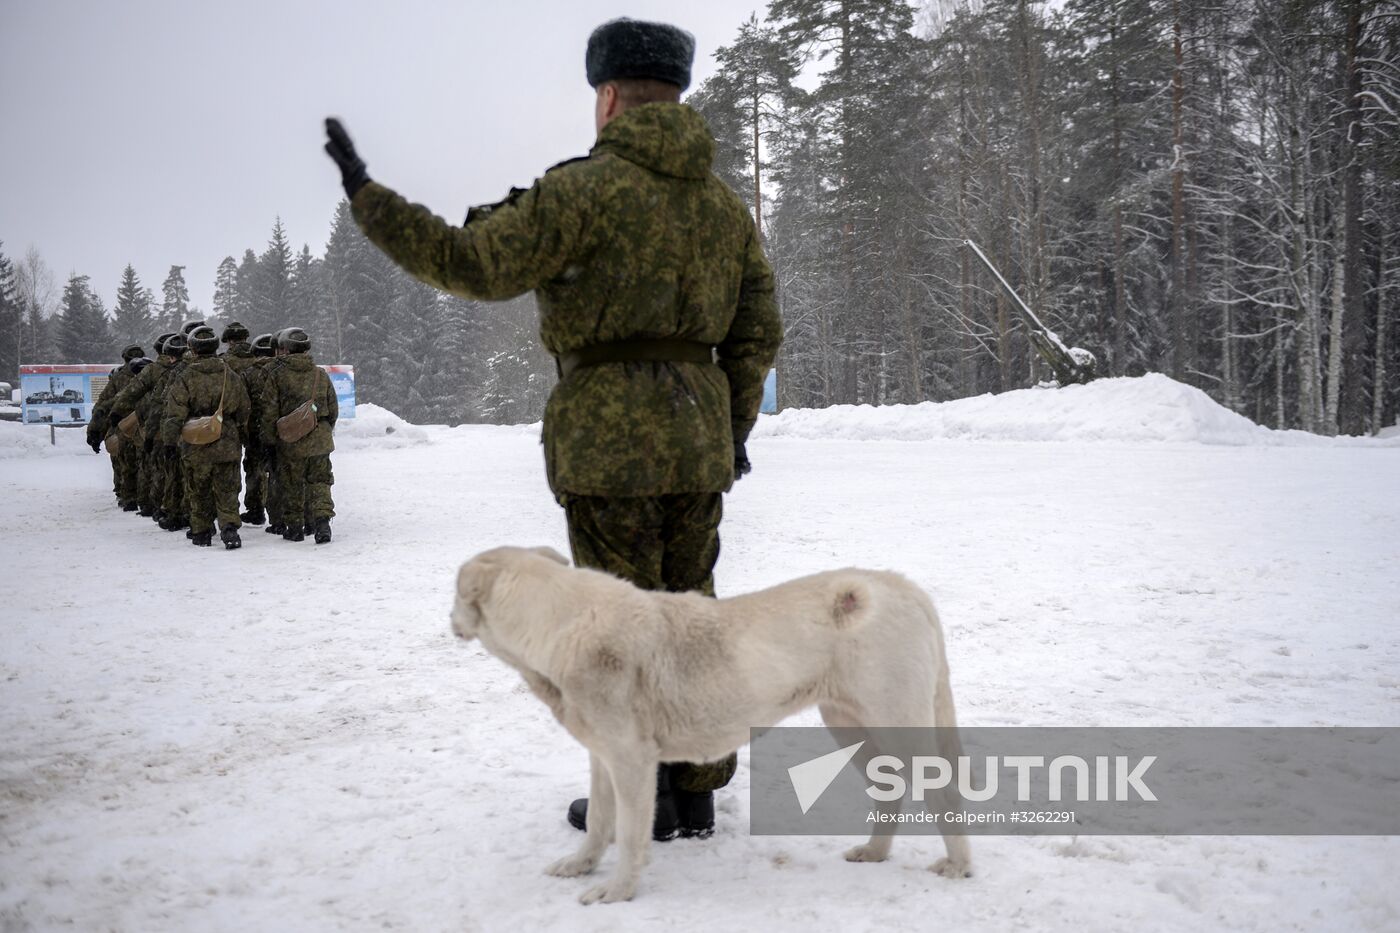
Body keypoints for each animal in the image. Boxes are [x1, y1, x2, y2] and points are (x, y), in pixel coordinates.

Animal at [450, 546, 974, 902]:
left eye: (455, 591)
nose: (448, 619)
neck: (559, 623)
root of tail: (903, 586)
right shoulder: (602, 756)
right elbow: (598, 822)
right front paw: (581, 865)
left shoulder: (631, 760)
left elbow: (631, 835)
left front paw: (617, 892)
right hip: (850, 725)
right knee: (891, 790)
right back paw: (874, 853)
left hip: (895, 722)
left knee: (943, 791)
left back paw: (958, 865)